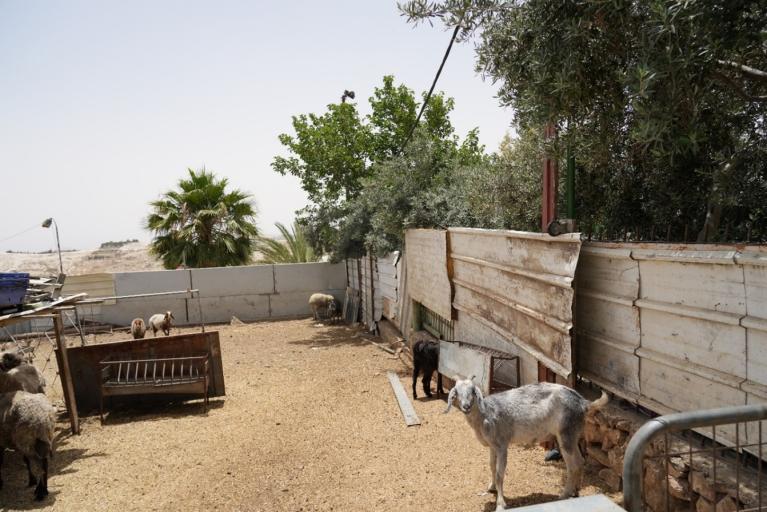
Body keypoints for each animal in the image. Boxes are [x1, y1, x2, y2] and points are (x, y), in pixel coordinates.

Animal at [448, 376, 608, 508]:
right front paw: (491, 487)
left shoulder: (502, 445)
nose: (466, 406)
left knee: (572, 466)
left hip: (566, 433)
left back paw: (564, 495)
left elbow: (500, 474)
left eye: (473, 391)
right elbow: (492, 466)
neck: (485, 414)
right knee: (580, 461)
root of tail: (584, 403)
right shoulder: (492, 446)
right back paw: (576, 491)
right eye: (457, 392)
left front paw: (500, 504)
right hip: (572, 435)